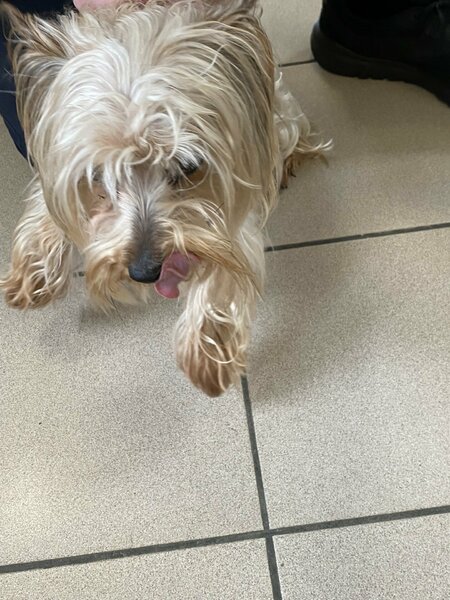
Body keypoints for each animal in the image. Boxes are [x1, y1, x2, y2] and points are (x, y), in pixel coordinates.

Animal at [0, 0, 329, 396]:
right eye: (97, 175)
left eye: (188, 165)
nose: (144, 272)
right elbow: (51, 192)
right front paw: (35, 270)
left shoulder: (240, 161)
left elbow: (230, 252)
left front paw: (206, 352)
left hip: (280, 112)